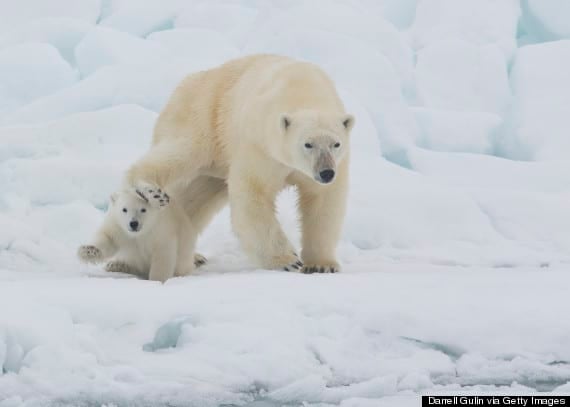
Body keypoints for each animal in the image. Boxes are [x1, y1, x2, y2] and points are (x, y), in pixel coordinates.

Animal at [126, 52, 352, 272]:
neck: (302, 89)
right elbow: (253, 193)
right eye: (307, 144)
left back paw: (190, 255)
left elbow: (323, 201)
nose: (326, 172)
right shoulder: (260, 145)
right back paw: (148, 191)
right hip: (202, 120)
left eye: (336, 144)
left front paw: (322, 264)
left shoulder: (334, 163)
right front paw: (287, 260)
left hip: (215, 168)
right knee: (179, 153)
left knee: (193, 198)